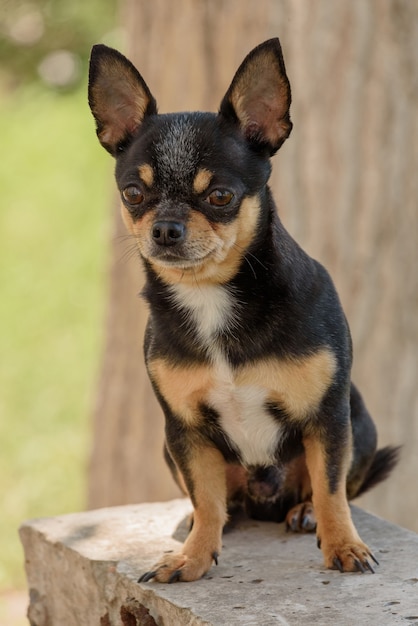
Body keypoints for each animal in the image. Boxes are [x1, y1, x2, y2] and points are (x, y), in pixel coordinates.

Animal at [87, 37, 398, 580]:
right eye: (133, 193)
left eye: (220, 195)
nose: (164, 228)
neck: (212, 295)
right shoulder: (185, 431)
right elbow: (206, 496)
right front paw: (193, 557)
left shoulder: (327, 418)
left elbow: (332, 487)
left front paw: (343, 545)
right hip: (171, 448)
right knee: (218, 499)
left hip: (359, 423)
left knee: (327, 487)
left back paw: (304, 512)